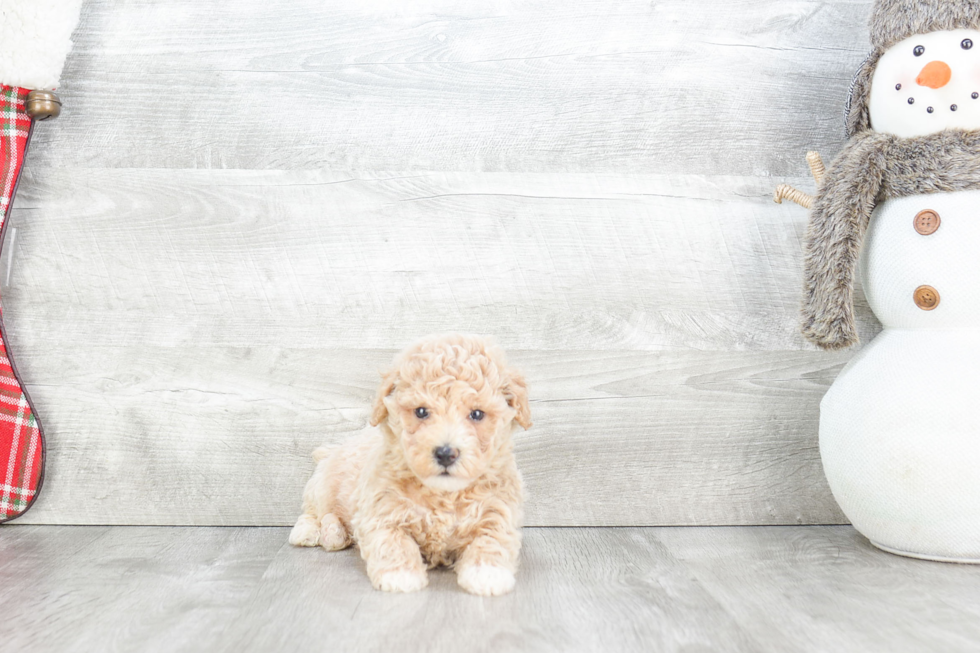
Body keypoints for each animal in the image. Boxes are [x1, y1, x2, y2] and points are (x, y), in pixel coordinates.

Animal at [290, 334, 532, 592]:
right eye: (421, 411)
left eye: (477, 414)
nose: (446, 453)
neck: (444, 494)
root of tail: (333, 449)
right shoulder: (380, 507)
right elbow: (393, 541)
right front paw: (400, 575)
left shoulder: (499, 506)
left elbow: (493, 538)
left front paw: (487, 574)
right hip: (322, 486)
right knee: (314, 512)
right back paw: (314, 532)